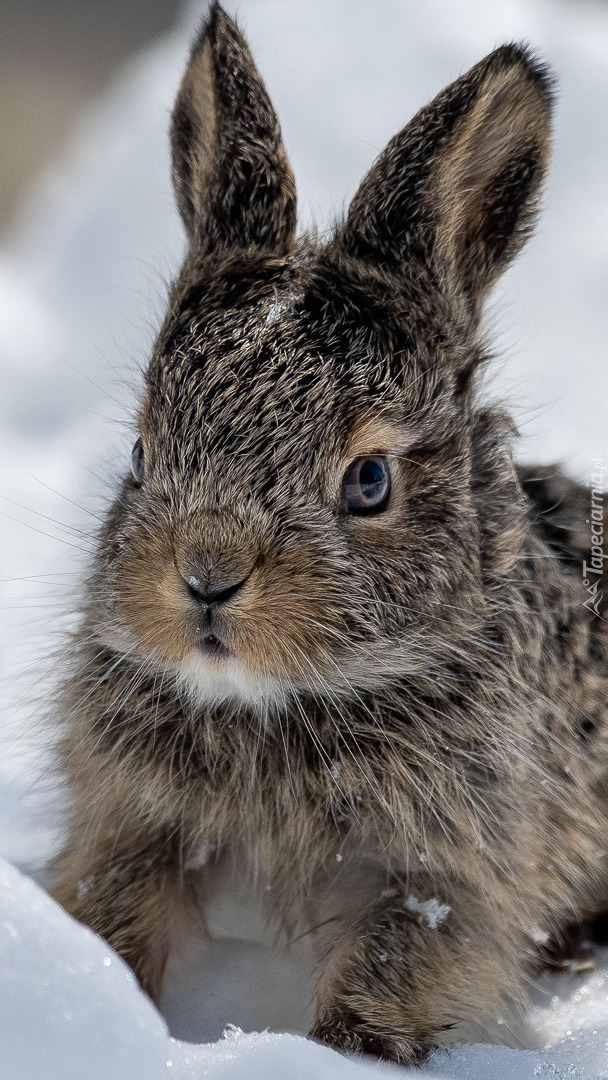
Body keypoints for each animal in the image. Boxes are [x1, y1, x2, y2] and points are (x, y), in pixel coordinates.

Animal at [48, 0, 608, 1062]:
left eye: (369, 480)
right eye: (142, 450)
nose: (207, 576)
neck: (273, 706)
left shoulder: (453, 869)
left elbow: (396, 961)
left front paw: (347, 1051)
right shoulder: (133, 822)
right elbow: (117, 912)